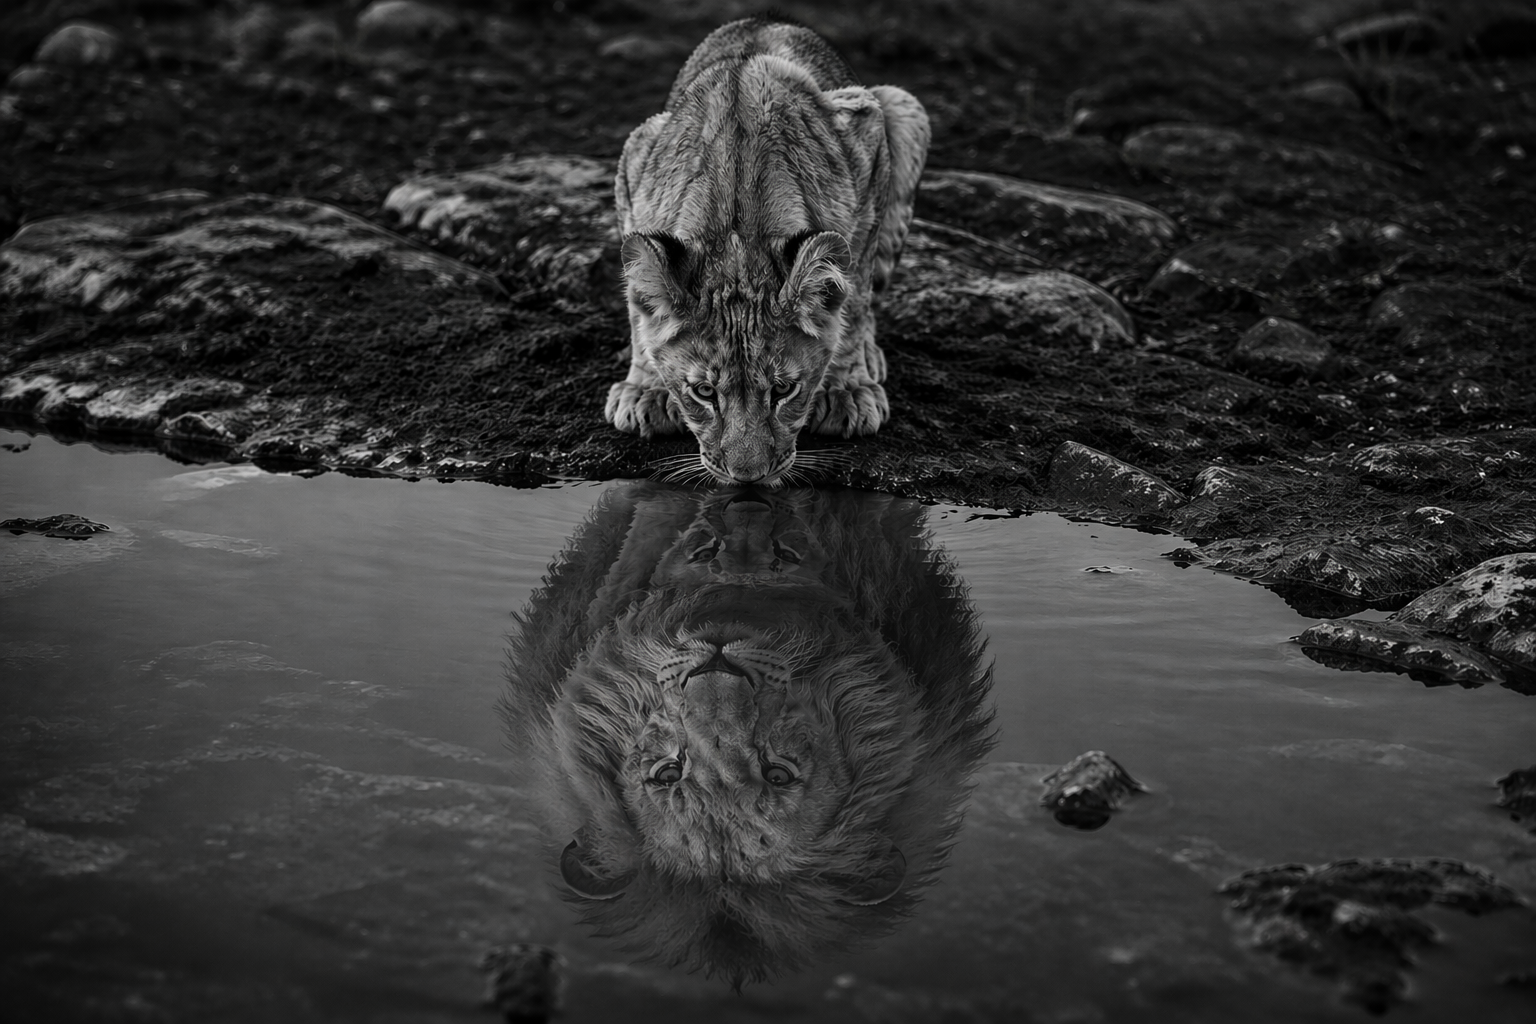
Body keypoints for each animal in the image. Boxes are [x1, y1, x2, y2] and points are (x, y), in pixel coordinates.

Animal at [605, 16, 930, 486]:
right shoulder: (636, 157)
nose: (748, 478)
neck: (738, 230)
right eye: (704, 392)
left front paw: (848, 388)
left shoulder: (865, 133)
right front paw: (644, 388)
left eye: (783, 390)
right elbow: (639, 309)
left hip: (901, 104)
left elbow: (856, 297)